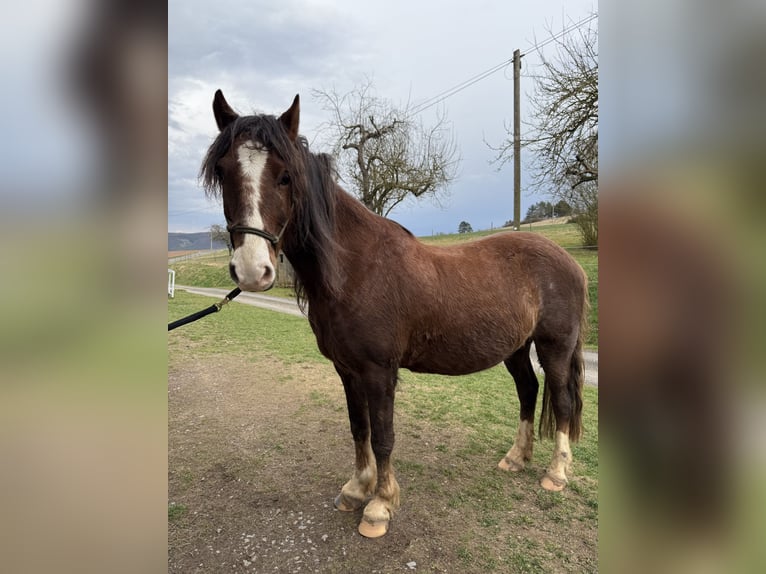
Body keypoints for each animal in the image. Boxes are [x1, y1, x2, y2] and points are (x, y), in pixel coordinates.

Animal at [200, 90, 589, 538]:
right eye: (223, 171)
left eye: (285, 177)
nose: (252, 269)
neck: (356, 268)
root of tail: (569, 262)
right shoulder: (347, 370)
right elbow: (359, 429)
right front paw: (356, 489)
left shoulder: (378, 371)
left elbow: (383, 435)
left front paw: (379, 506)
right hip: (516, 348)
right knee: (528, 390)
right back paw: (515, 458)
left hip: (555, 346)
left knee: (561, 400)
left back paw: (555, 473)